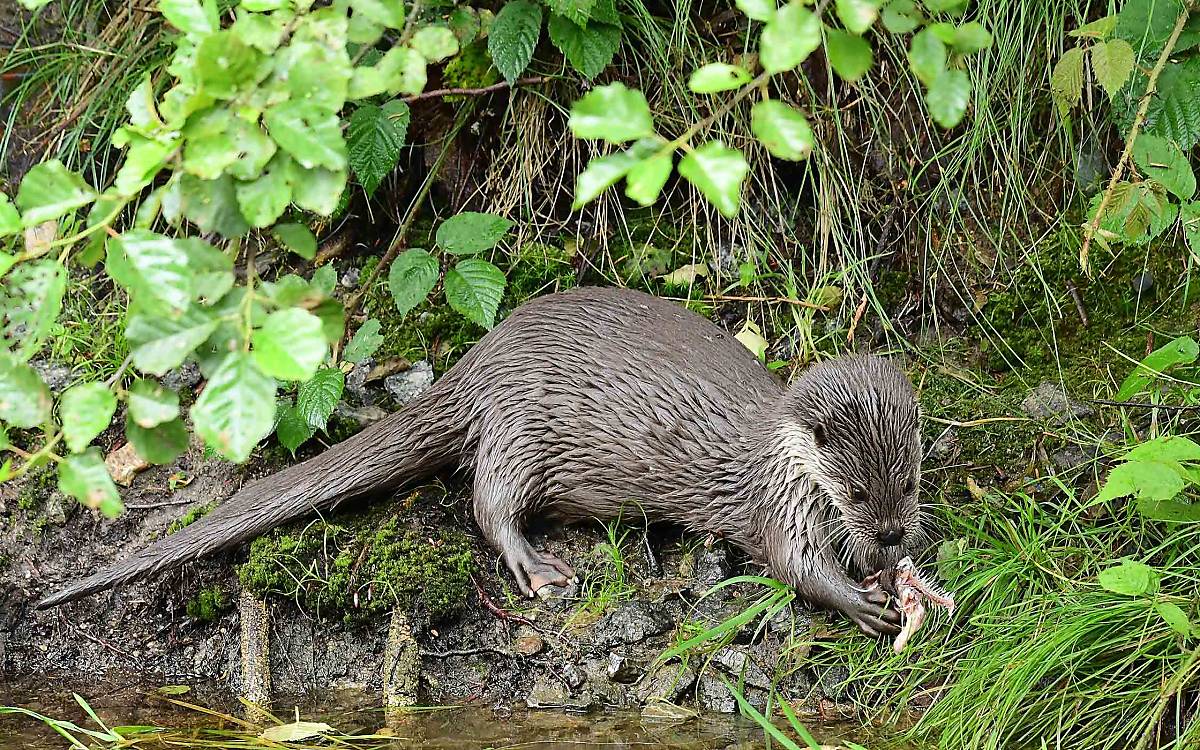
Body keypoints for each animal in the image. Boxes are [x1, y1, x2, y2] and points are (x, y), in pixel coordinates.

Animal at [37, 285, 921, 633]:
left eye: (909, 483)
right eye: (851, 488)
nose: (889, 537)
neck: (782, 459)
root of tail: (481, 359)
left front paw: (886, 578)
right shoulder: (778, 502)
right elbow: (791, 565)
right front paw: (859, 599)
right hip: (521, 431)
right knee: (487, 502)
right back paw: (538, 568)